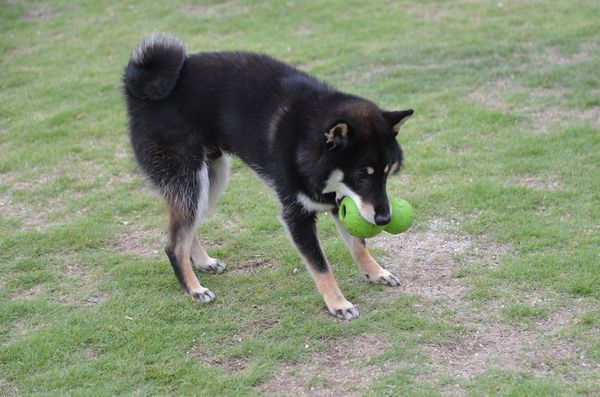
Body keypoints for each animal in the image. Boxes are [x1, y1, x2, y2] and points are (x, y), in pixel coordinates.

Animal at [122, 33, 412, 318]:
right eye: (362, 175)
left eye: (387, 173)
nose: (385, 219)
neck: (306, 140)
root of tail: (139, 90)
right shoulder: (296, 215)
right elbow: (320, 265)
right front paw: (338, 304)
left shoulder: (340, 203)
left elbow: (359, 245)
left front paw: (376, 272)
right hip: (190, 181)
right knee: (174, 244)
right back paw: (193, 289)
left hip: (210, 180)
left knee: (185, 230)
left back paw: (203, 262)